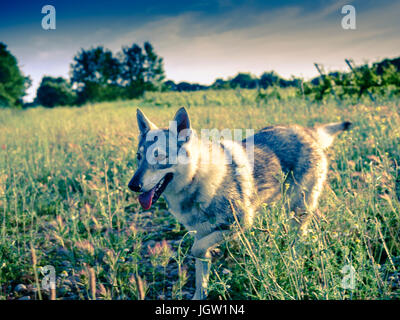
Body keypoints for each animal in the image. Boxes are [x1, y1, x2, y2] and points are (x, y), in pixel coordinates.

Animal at [128, 107, 350, 300]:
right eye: (138, 157)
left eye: (159, 156)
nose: (133, 185)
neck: (197, 178)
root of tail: (306, 131)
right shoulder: (200, 232)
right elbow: (200, 274)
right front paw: (201, 293)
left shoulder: (240, 223)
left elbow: (197, 249)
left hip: (297, 210)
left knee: (299, 240)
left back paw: (293, 261)